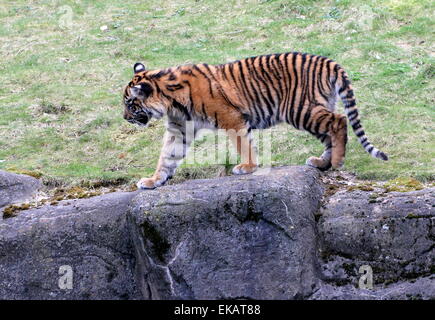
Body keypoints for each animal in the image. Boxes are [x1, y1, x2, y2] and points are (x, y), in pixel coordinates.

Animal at [122, 51, 388, 189]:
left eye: (129, 104)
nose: (124, 118)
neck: (171, 100)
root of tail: (327, 61)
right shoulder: (180, 129)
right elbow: (167, 156)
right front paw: (153, 180)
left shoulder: (232, 118)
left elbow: (244, 145)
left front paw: (247, 167)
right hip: (311, 111)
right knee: (330, 132)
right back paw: (322, 163)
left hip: (301, 110)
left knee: (339, 121)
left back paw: (338, 161)